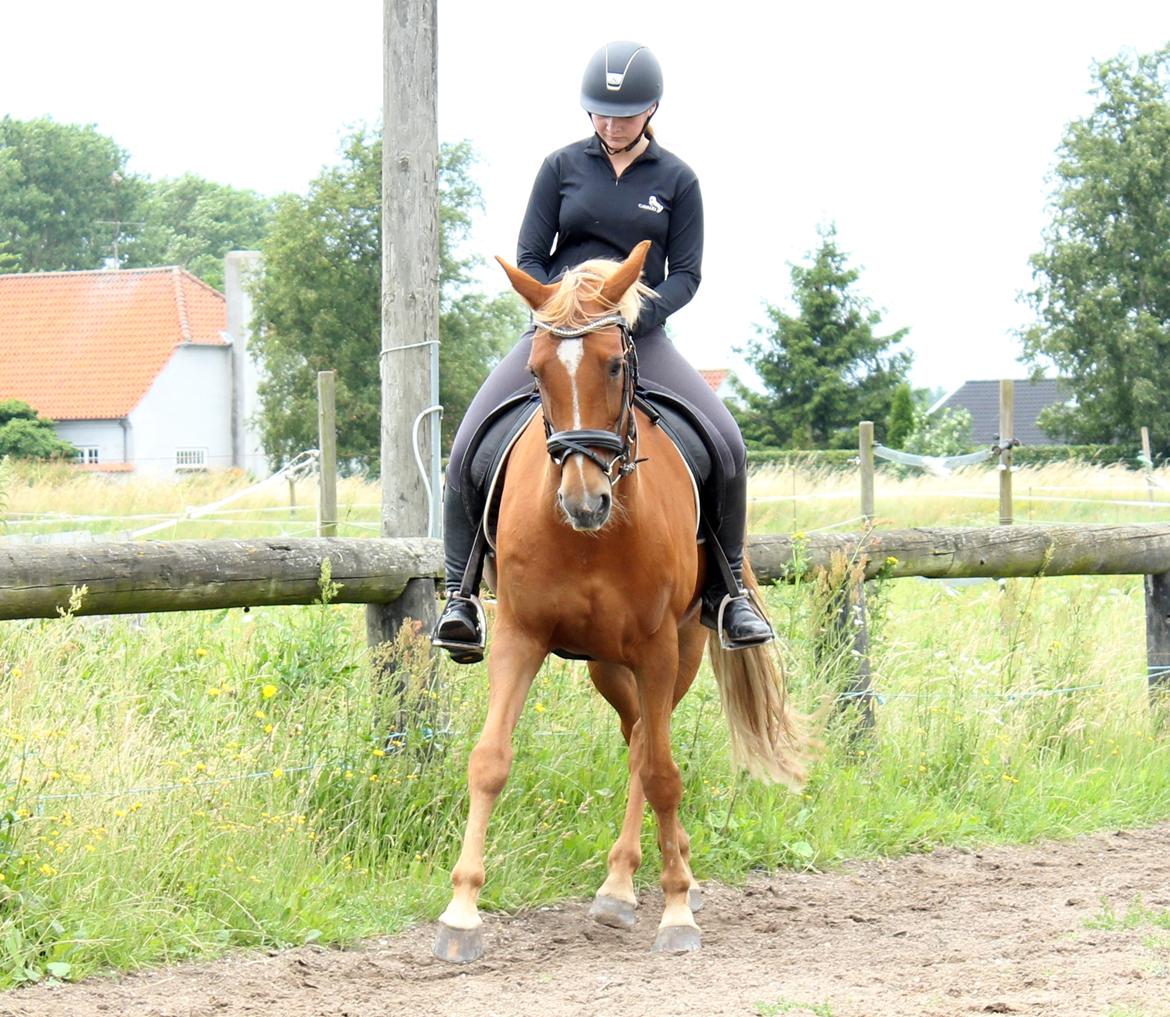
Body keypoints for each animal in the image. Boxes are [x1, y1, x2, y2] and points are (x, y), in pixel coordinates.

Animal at [432, 237, 814, 959]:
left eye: (614, 364)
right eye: (537, 370)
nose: (586, 502)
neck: (590, 540)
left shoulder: (658, 645)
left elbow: (663, 771)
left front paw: (678, 912)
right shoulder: (521, 634)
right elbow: (490, 759)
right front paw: (461, 913)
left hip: (681, 648)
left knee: (648, 747)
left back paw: (645, 881)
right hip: (607, 664)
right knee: (636, 732)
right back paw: (621, 885)